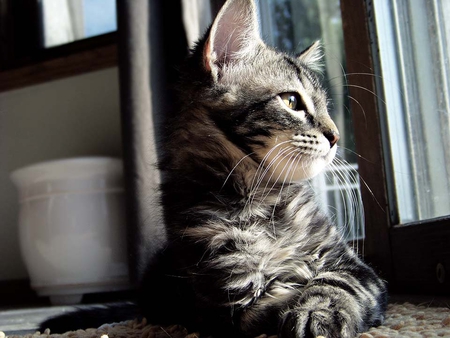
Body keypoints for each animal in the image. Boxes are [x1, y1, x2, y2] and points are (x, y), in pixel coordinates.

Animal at [41, 0, 386, 338]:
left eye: (326, 107)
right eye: (291, 101)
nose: (336, 136)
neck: (260, 203)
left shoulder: (354, 267)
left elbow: (334, 283)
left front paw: (318, 312)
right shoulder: (230, 301)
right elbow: (277, 296)